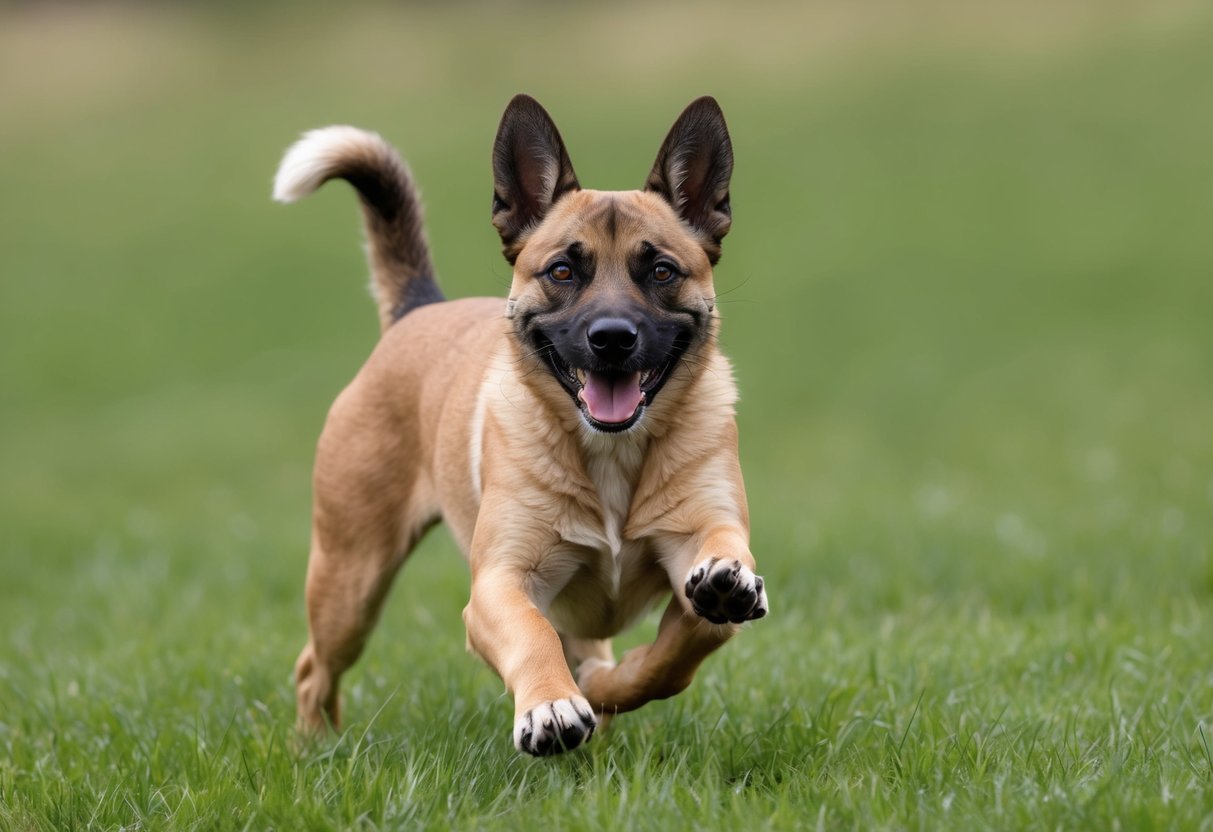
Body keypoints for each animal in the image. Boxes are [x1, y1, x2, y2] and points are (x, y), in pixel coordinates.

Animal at [272, 96, 766, 756]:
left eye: (662, 271)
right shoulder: (500, 585)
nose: (612, 338)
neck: (609, 452)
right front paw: (552, 705)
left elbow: (679, 648)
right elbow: (533, 635)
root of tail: (418, 309)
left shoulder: (703, 540)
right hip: (349, 579)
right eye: (561, 271)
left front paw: (615, 679)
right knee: (313, 670)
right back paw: (316, 747)